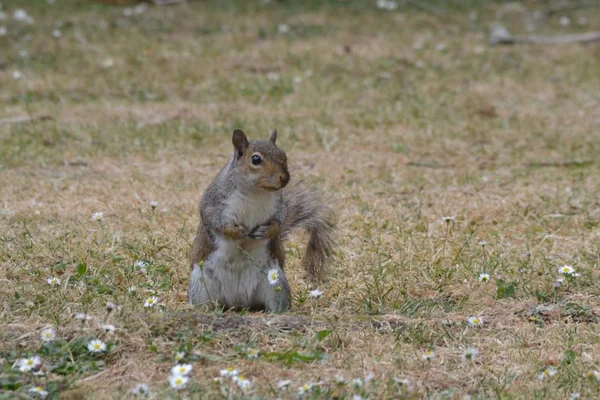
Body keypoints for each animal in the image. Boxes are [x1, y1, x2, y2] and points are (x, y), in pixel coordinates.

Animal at [188, 129, 336, 312]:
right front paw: (236, 231)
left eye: (283, 155)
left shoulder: (279, 207)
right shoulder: (213, 201)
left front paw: (266, 231)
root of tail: (238, 303)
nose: (284, 178)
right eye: (256, 159)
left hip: (276, 283)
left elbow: (279, 221)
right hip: (200, 284)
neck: (255, 192)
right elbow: (212, 219)